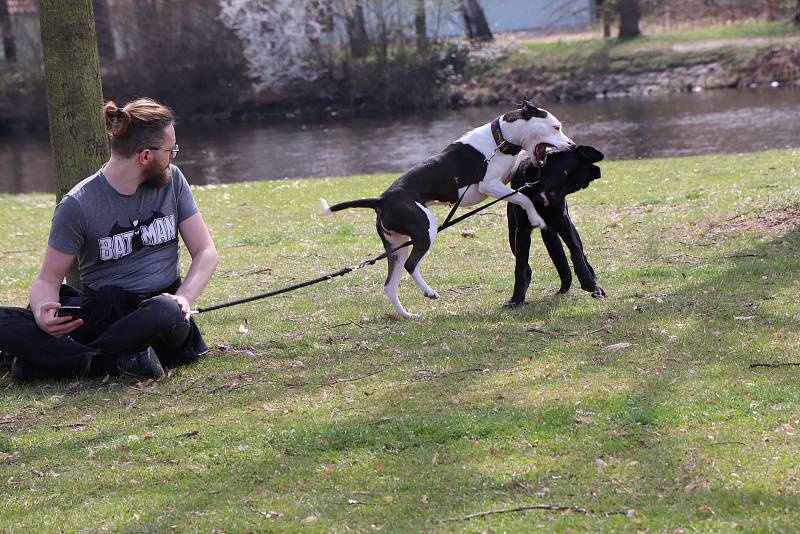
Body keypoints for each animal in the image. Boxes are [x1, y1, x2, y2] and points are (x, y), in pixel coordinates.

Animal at [318, 100, 576, 318]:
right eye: (556, 127)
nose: (572, 145)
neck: (500, 139)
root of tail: (381, 199)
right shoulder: (490, 185)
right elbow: (524, 198)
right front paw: (536, 218)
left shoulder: (506, 177)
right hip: (425, 229)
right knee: (411, 265)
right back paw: (429, 292)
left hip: (396, 247)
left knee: (389, 285)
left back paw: (406, 315)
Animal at [506, 144, 608, 308]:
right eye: (563, 173)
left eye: (573, 186)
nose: (549, 199)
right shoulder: (522, 231)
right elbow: (520, 268)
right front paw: (516, 298)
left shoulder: (562, 221)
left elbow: (575, 250)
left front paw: (588, 281)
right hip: (513, 235)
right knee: (528, 268)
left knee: (580, 253)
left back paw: (595, 286)